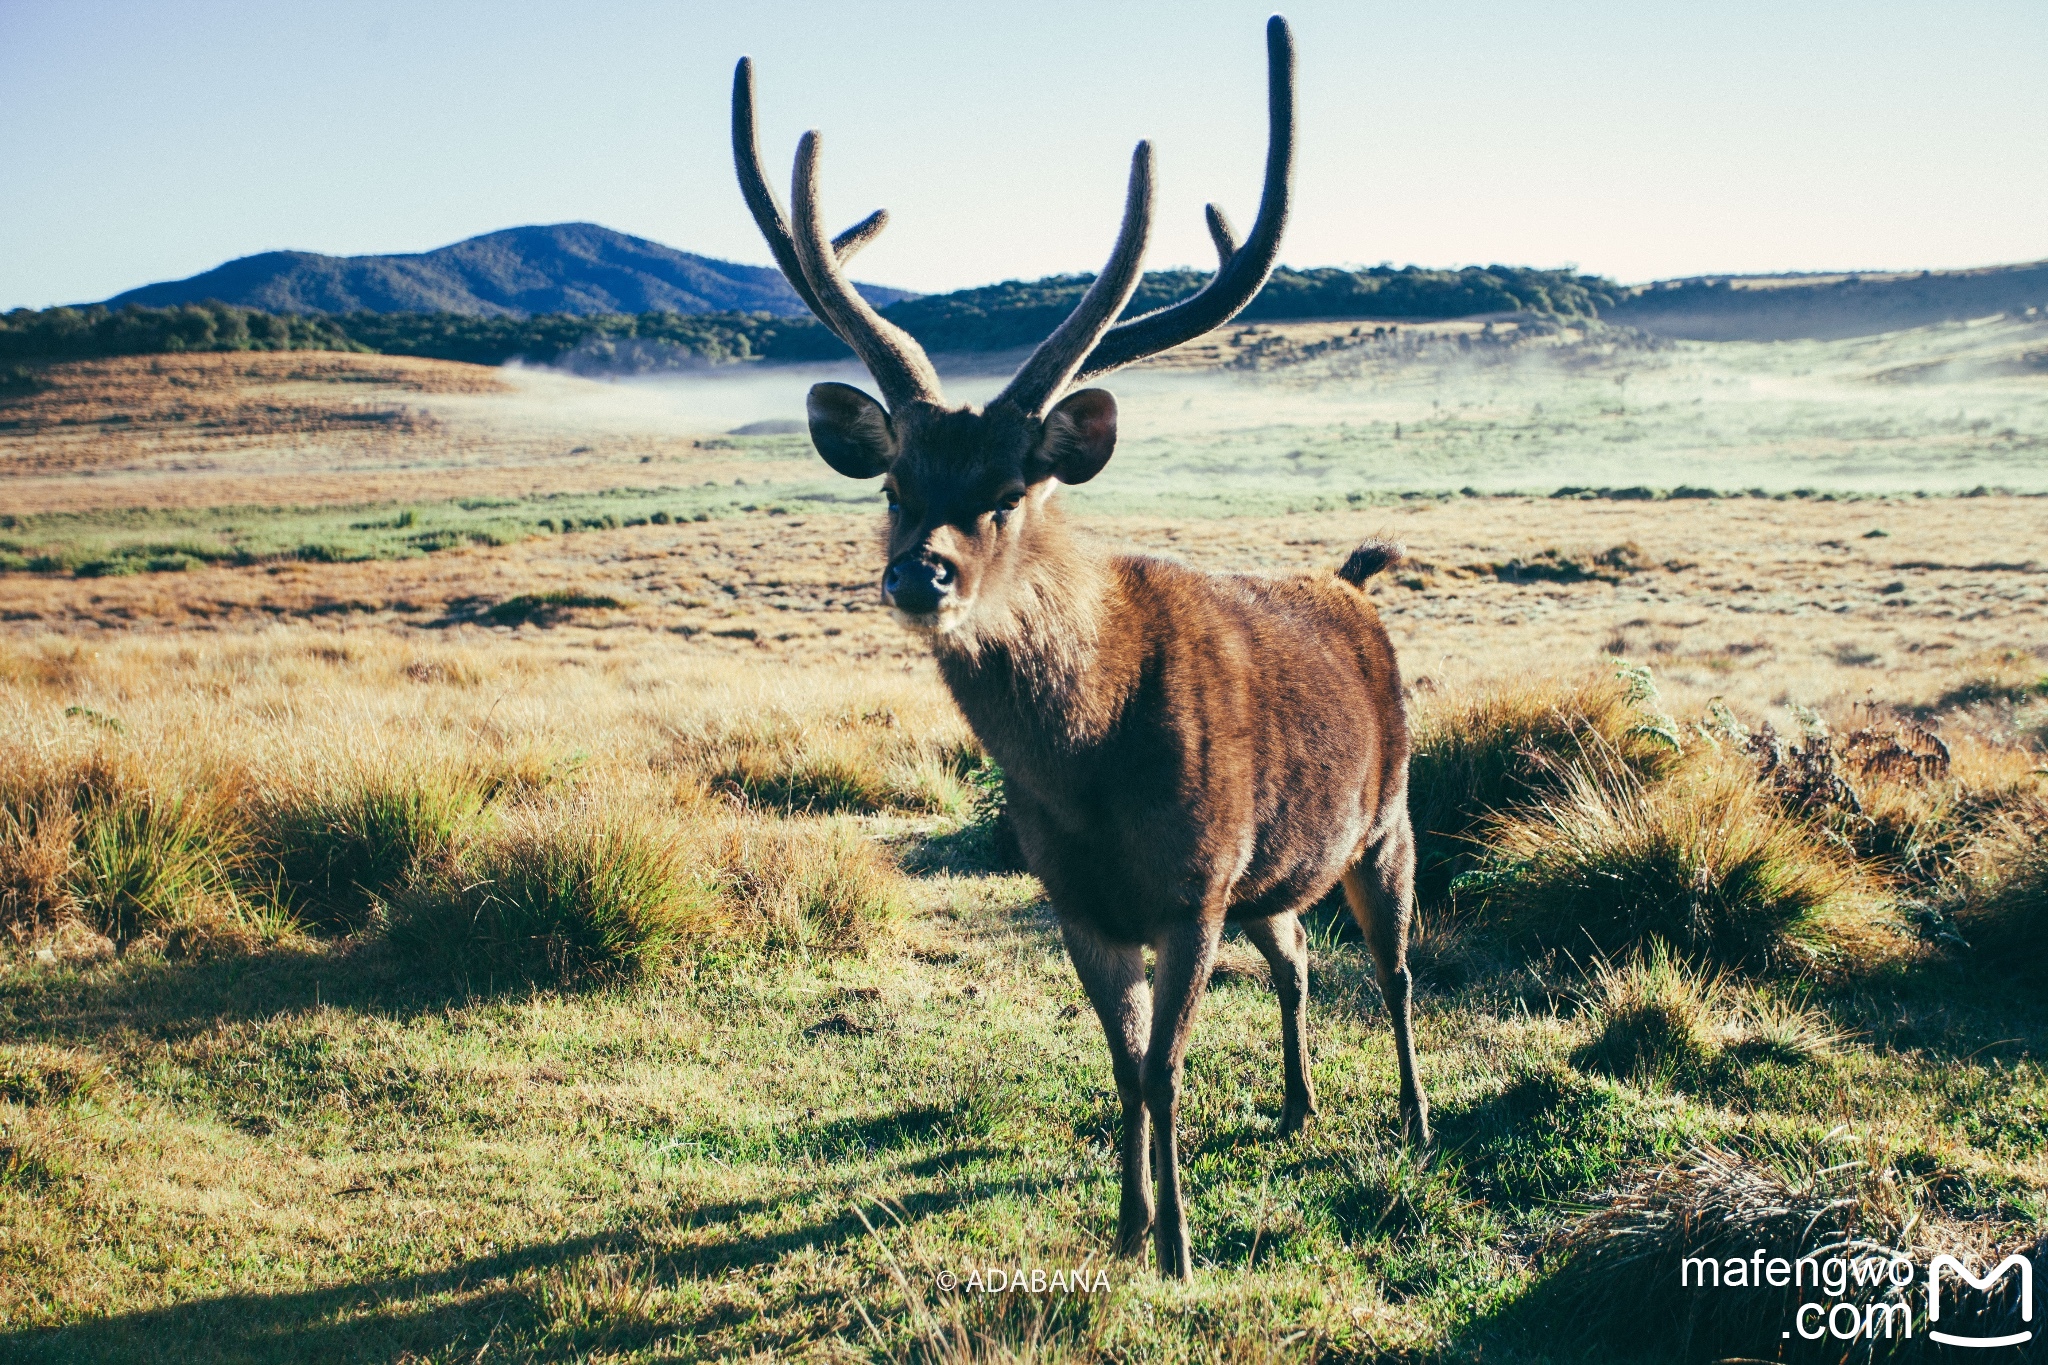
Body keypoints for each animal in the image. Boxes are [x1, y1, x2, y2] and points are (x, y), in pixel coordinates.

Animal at [733, 13, 1425, 1285]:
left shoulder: (1194, 886)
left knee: (1395, 969)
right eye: (895, 487)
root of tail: (1353, 588)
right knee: (1298, 963)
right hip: (1279, 872)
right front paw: (1128, 1223)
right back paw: (1298, 1105)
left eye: (1009, 492)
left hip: (1385, 814)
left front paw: (1180, 1250)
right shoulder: (1076, 896)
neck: (1090, 767)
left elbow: (1163, 1068)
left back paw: (1412, 1119)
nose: (918, 576)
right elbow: (1119, 1064)